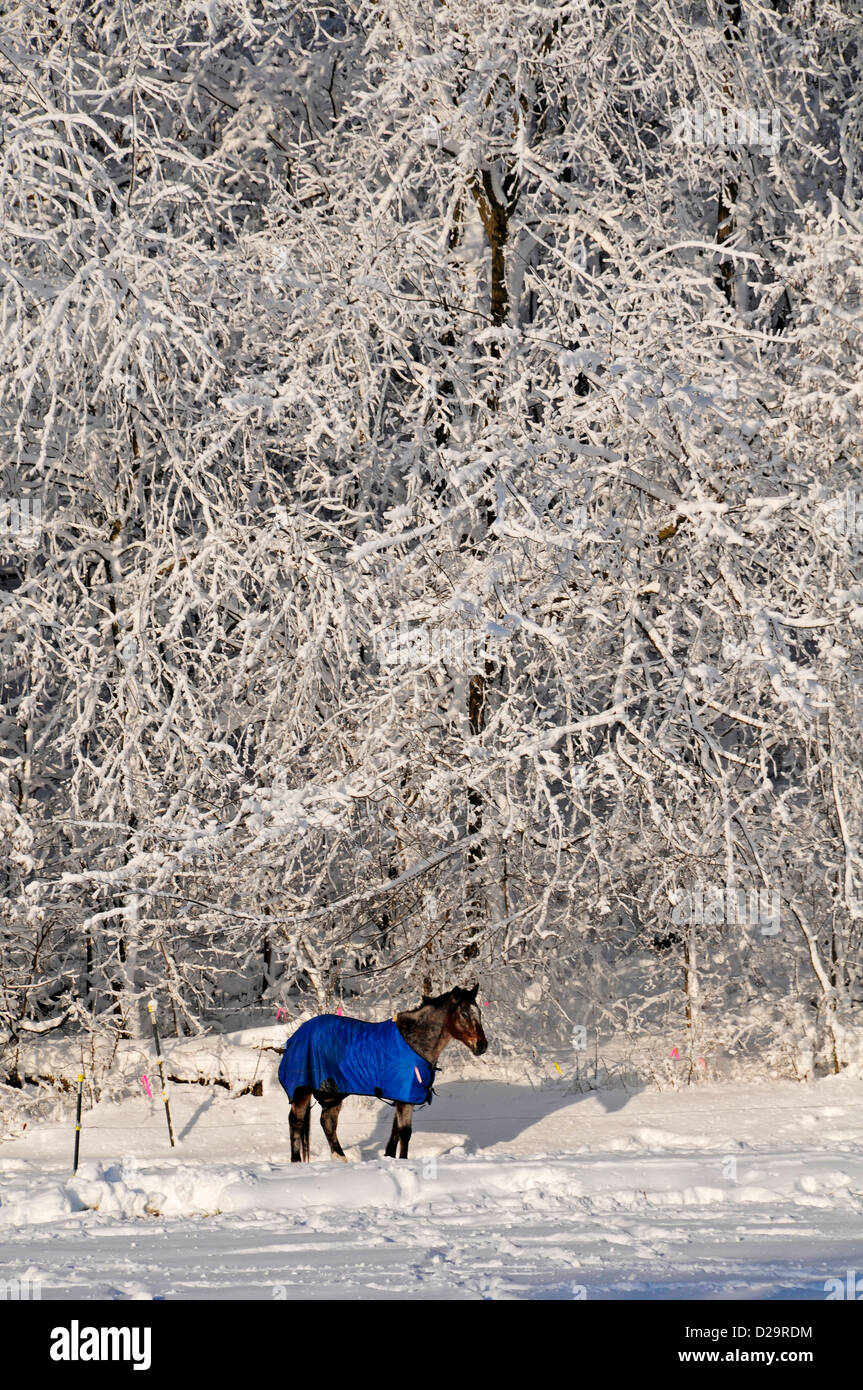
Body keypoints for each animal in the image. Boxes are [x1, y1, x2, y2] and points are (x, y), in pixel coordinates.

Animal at [279, 983, 488, 1162]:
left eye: (479, 1012)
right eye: (464, 1013)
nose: (482, 1045)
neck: (414, 1042)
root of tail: (294, 1037)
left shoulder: (401, 1096)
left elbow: (395, 1132)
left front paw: (389, 1157)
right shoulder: (405, 1097)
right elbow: (405, 1132)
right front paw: (403, 1161)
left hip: (333, 1092)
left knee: (327, 1121)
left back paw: (341, 1159)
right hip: (302, 1089)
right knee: (296, 1121)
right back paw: (296, 1161)